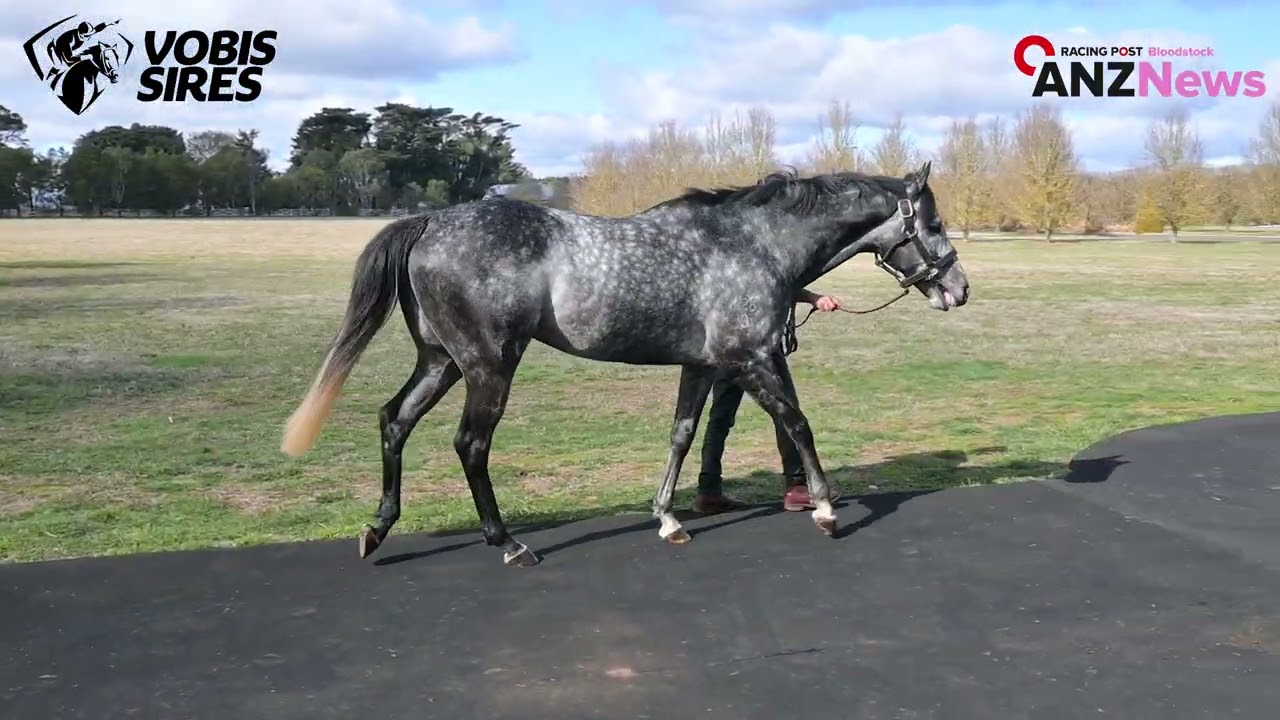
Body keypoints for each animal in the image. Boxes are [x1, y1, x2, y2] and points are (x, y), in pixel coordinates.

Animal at [278, 161, 969, 567]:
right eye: (933, 221)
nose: (959, 290)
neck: (753, 245)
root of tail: (428, 224)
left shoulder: (703, 366)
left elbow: (683, 435)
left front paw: (668, 519)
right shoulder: (752, 358)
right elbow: (798, 423)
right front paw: (825, 510)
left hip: (441, 361)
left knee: (394, 420)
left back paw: (378, 528)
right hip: (487, 366)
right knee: (470, 444)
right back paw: (508, 544)